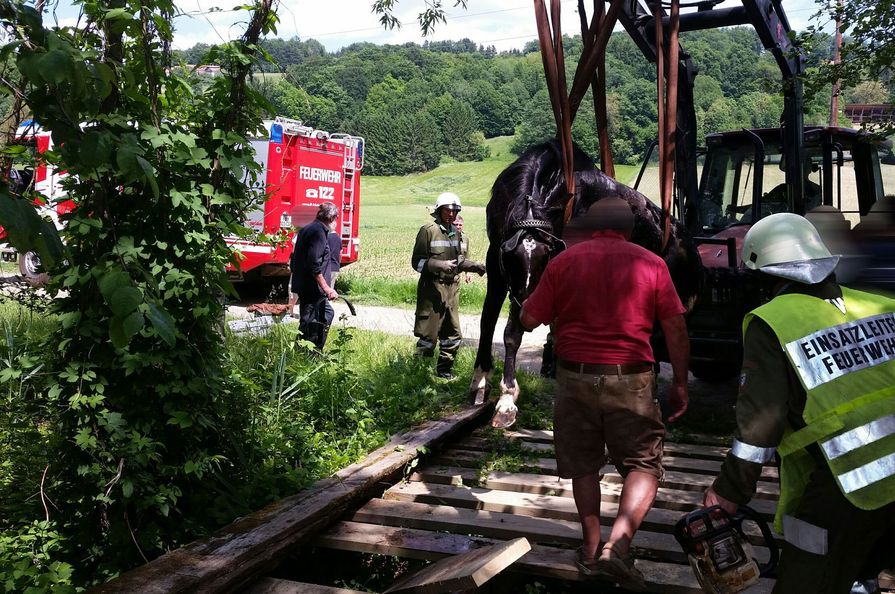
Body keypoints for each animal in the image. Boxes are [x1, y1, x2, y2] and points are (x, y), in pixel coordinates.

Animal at [468, 140, 703, 427]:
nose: (527, 312)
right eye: (509, 256)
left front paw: (507, 399)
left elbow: (512, 332)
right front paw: (480, 381)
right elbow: (488, 320)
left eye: (546, 256)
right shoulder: (495, 261)